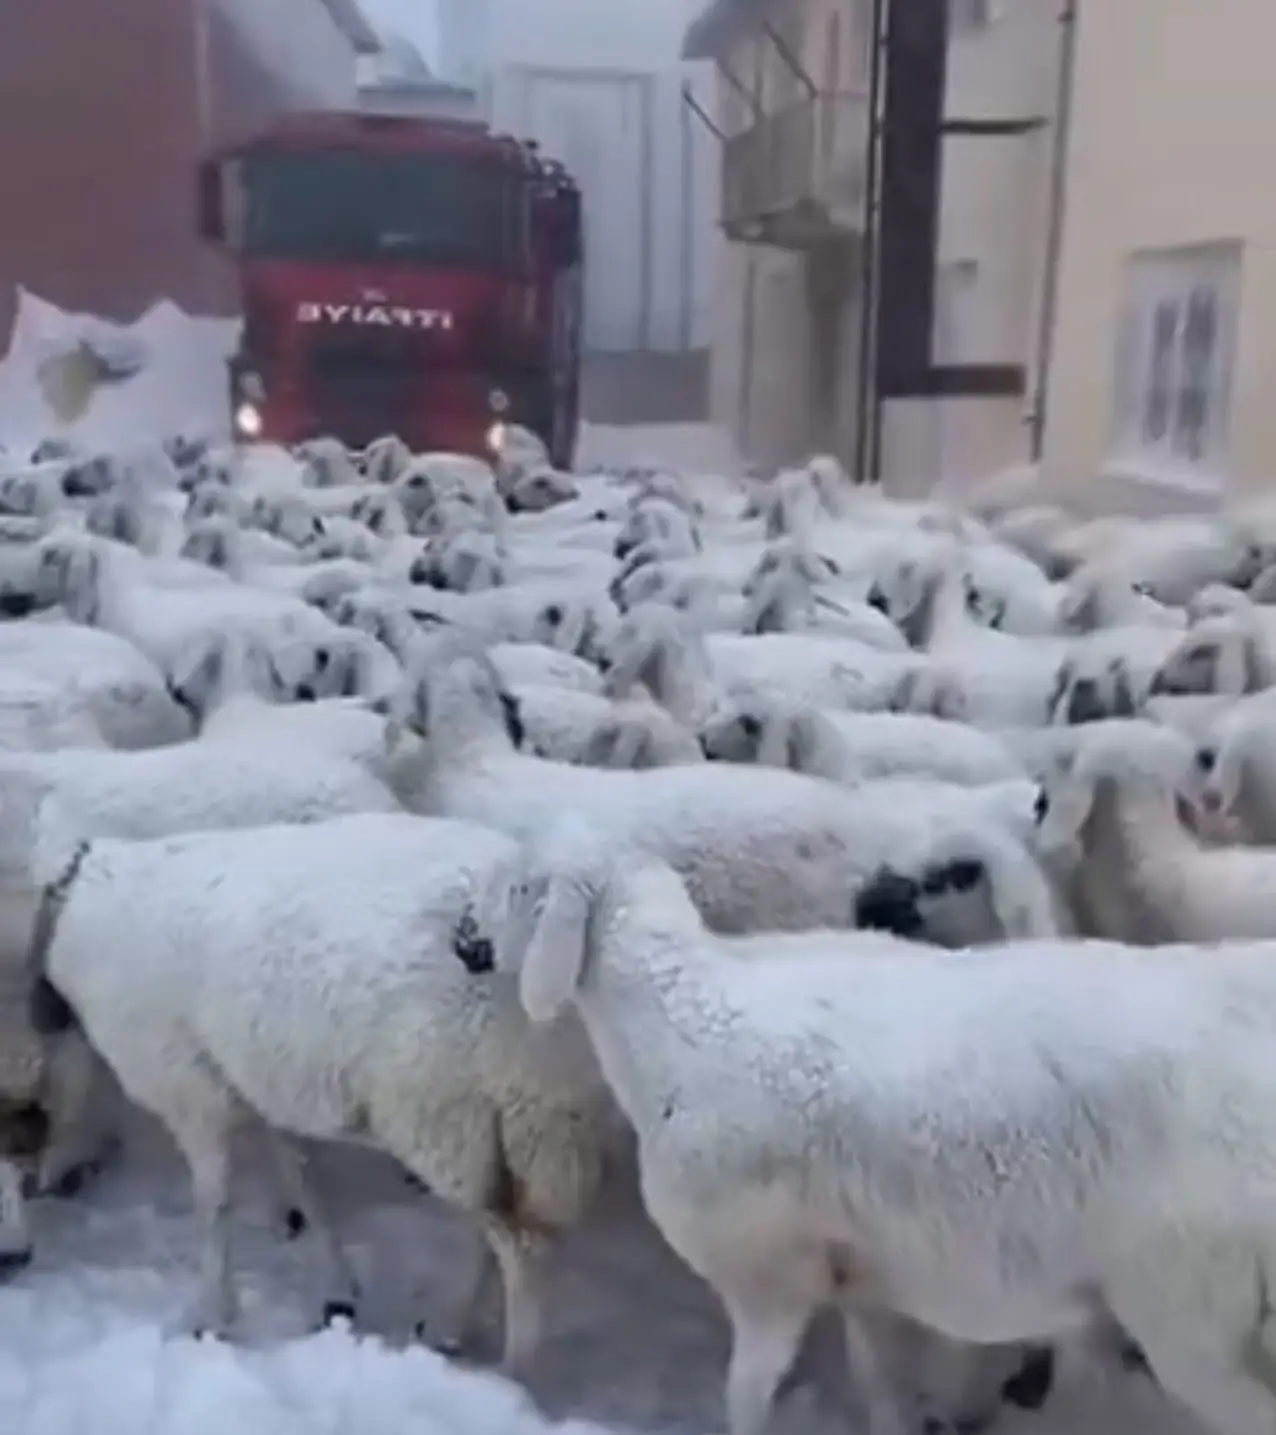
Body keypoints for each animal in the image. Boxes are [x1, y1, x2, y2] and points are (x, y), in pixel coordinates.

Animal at [24, 815, 611, 1360]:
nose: (41, 1184)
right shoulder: (265, 1086)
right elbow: (305, 1181)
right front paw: (335, 1290)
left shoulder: (192, 1090)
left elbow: (214, 1206)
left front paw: (211, 1315)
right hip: (522, 1122)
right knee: (497, 1235)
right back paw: (453, 1325)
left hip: (449, 1115)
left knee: (523, 1249)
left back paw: (510, 1371)